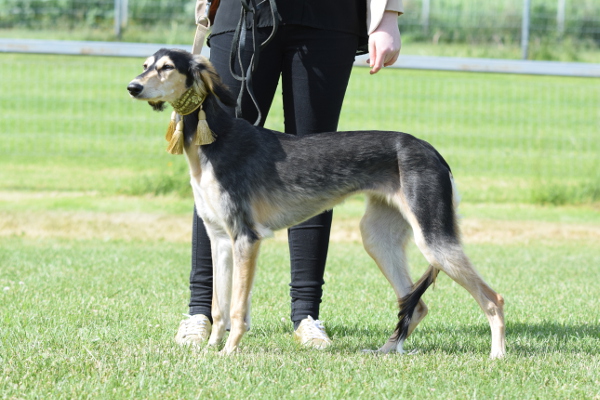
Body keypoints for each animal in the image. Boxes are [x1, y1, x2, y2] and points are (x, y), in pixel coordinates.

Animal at [127, 48, 506, 358]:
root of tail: (433, 151)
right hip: (378, 237)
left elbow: (236, 308)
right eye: (145, 66)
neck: (216, 140)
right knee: (416, 303)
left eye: (166, 67)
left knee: (493, 299)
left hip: (432, 238)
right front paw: (209, 349)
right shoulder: (220, 238)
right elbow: (219, 308)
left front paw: (229, 352)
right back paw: (386, 350)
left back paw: (497, 355)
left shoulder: (246, 238)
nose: (132, 87)